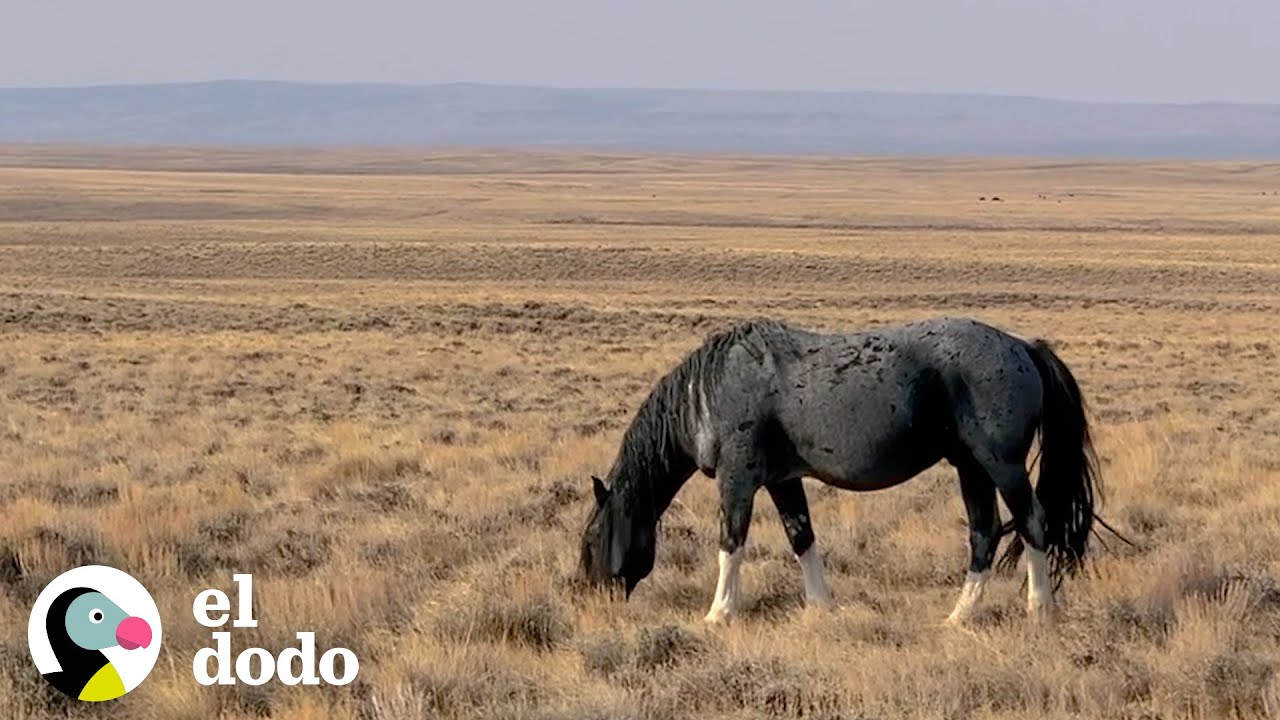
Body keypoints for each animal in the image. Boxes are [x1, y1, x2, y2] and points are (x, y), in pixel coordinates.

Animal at [577, 316, 1100, 625]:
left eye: (592, 539)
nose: (591, 595)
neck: (709, 391)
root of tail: (1022, 347)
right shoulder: (783, 481)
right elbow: (802, 538)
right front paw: (821, 604)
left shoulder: (738, 479)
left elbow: (731, 544)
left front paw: (718, 614)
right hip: (969, 467)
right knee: (984, 534)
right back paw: (957, 618)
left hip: (1001, 464)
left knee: (1032, 522)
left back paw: (1039, 609)